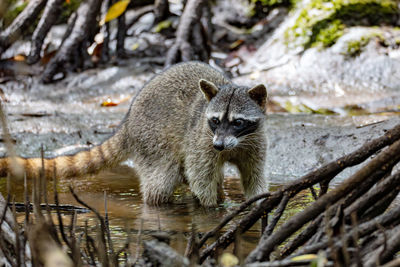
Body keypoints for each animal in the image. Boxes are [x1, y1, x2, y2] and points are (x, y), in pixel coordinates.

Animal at [1, 61, 268, 208]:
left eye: (238, 122)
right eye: (215, 120)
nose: (219, 146)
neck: (235, 143)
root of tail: (128, 121)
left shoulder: (254, 142)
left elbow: (254, 175)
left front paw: (259, 202)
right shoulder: (202, 139)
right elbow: (200, 176)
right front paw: (210, 209)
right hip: (152, 139)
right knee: (162, 180)